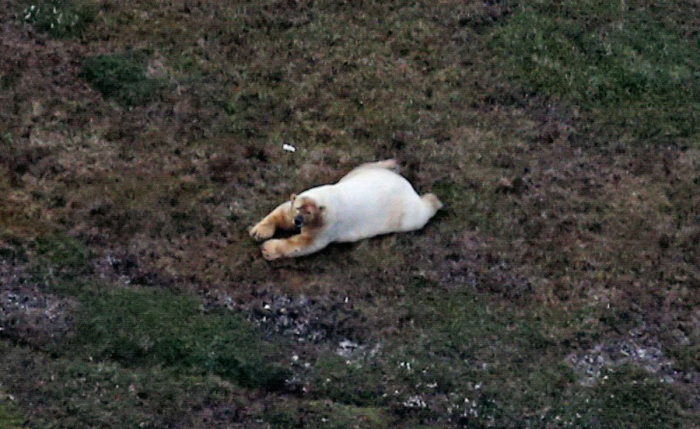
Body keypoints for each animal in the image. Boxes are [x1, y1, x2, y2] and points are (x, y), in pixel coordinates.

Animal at [249, 159, 443, 260]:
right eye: (298, 208)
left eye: (309, 213)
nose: (298, 222)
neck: (326, 197)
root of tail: (407, 186)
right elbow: (282, 212)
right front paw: (259, 231)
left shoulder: (326, 224)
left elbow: (306, 243)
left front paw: (268, 248)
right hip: (364, 173)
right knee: (367, 166)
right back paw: (392, 163)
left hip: (406, 213)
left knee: (420, 214)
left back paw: (434, 200)